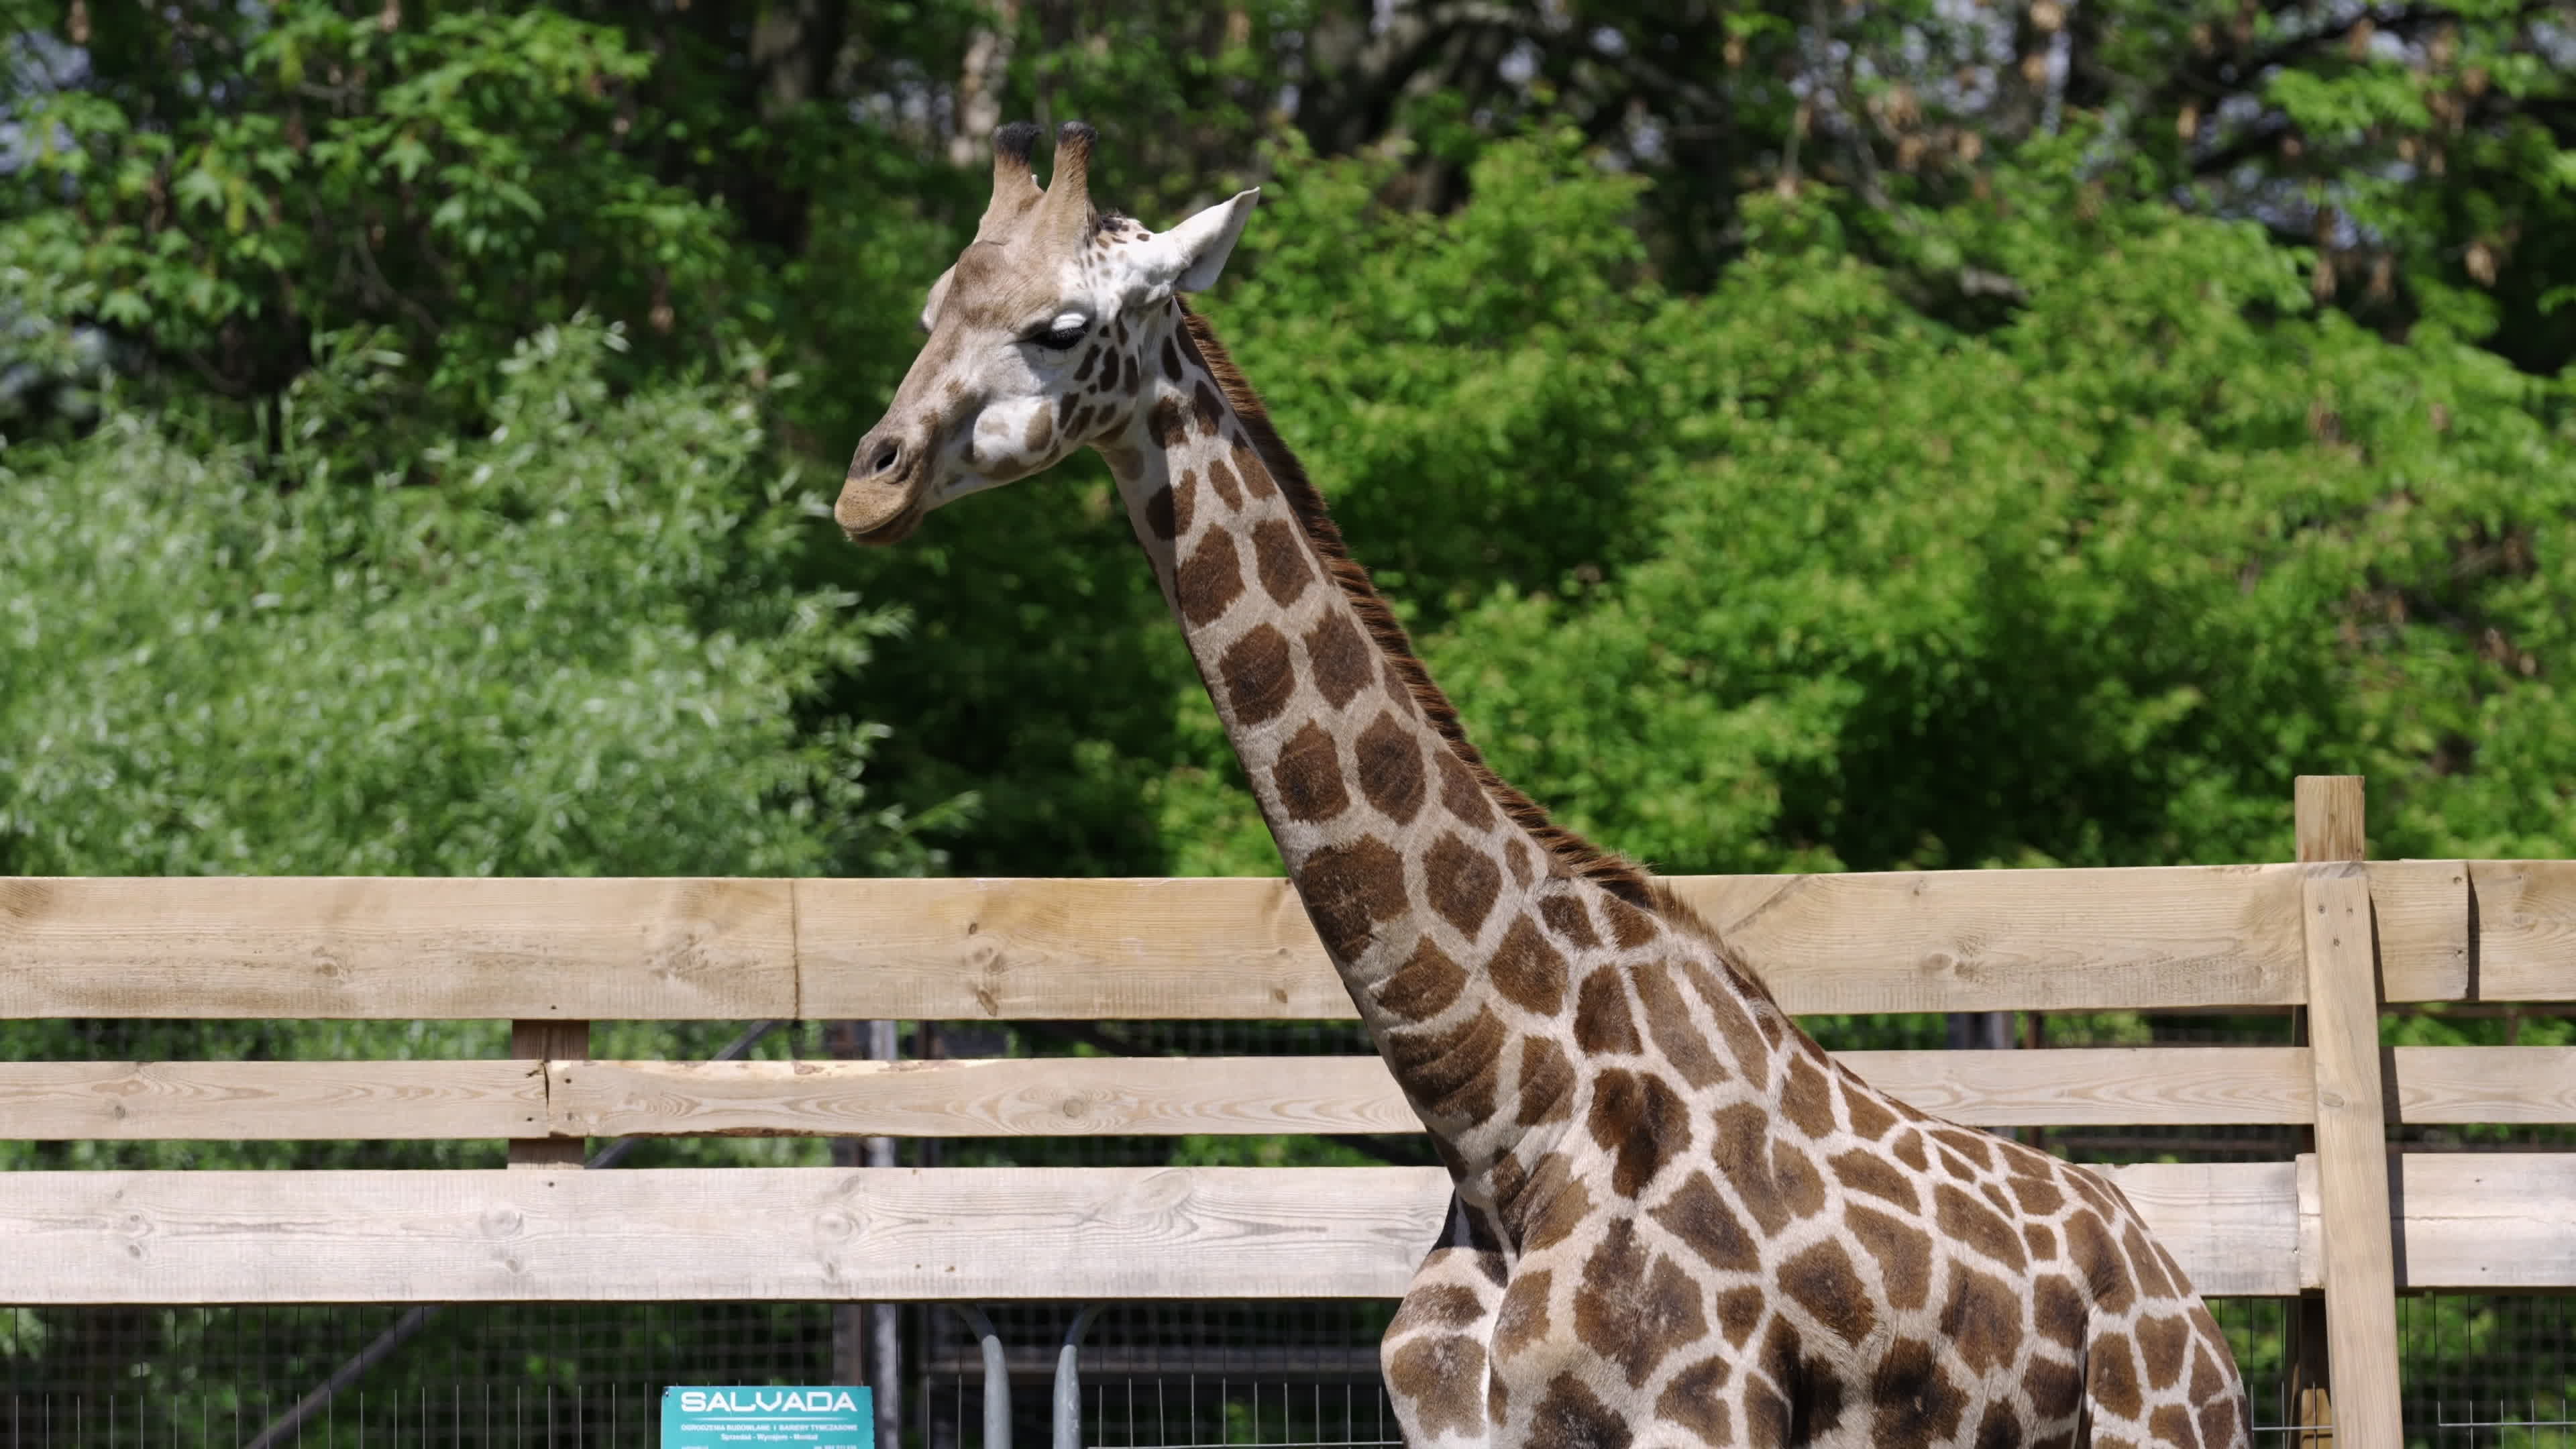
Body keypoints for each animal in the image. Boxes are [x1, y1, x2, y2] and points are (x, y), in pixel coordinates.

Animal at [838, 121, 2255, 1449]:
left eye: (1061, 326)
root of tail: (2184, 1298)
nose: (870, 480)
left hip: (2167, 1431)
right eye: (929, 310)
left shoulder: (1703, 1418)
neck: (1505, 1127)